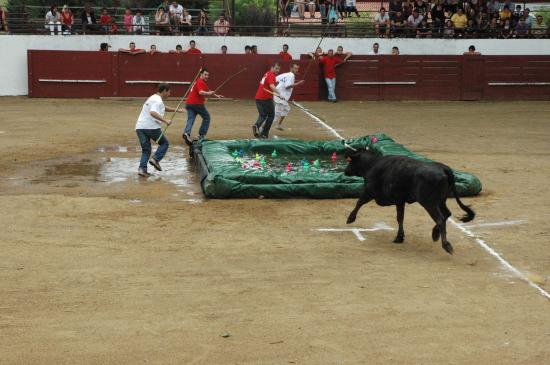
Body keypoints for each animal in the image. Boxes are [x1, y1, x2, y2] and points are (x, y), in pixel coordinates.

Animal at [348, 147, 476, 253]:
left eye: (350, 161)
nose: (345, 170)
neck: (372, 164)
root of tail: (444, 169)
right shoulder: (400, 201)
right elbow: (400, 217)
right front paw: (400, 237)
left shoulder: (370, 191)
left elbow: (360, 202)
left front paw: (350, 218)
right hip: (441, 201)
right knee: (446, 214)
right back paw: (435, 234)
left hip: (429, 203)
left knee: (440, 219)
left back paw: (446, 245)